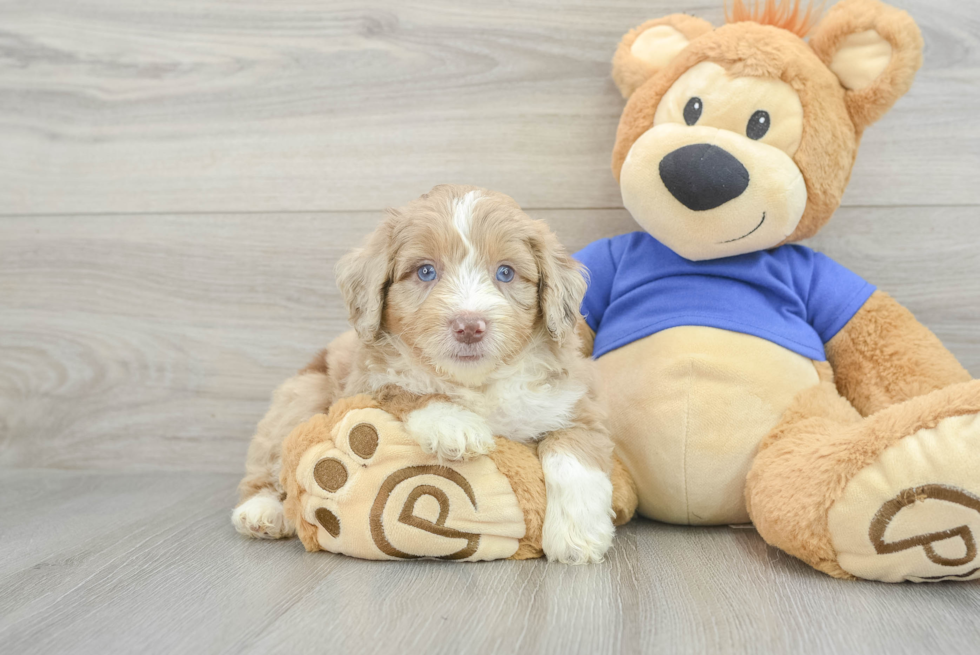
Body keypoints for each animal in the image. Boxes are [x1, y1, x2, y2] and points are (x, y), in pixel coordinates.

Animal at [234, 184, 616, 564]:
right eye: (426, 272)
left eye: (506, 272)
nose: (469, 326)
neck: (477, 382)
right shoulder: (366, 381)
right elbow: (404, 389)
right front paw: (454, 425)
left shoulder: (575, 402)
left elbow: (573, 454)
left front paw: (576, 536)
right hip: (302, 393)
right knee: (271, 460)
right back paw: (262, 510)